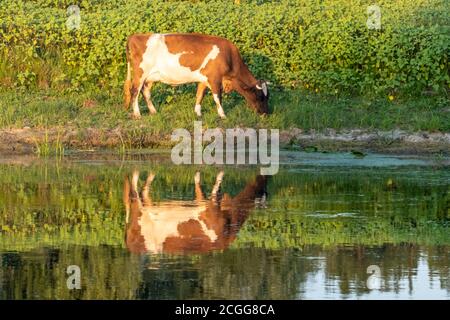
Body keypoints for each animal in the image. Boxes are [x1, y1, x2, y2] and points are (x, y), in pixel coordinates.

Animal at [123, 33, 268, 119]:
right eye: (260, 96)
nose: (266, 113)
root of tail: (134, 36)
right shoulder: (214, 79)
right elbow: (217, 98)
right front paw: (222, 115)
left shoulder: (203, 79)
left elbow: (200, 95)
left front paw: (198, 113)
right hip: (140, 74)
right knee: (135, 91)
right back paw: (137, 114)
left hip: (150, 77)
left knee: (145, 92)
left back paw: (153, 111)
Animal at [123, 171, 268, 254]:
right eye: (261, 186)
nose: (264, 175)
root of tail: (129, 245)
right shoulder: (212, 207)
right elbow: (217, 184)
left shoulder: (201, 202)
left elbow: (199, 184)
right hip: (139, 213)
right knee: (134, 190)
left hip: (148, 206)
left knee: (143, 190)